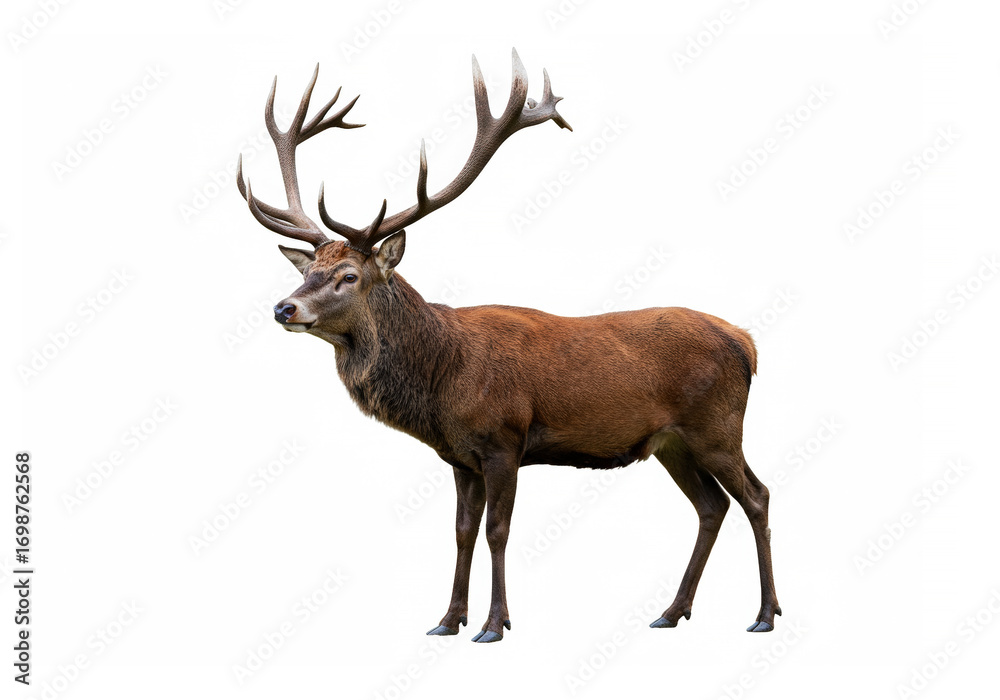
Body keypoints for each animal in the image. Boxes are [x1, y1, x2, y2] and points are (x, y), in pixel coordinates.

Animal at [236, 49, 780, 643]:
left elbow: (497, 531)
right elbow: (461, 532)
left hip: (717, 425)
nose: (284, 308)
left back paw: (764, 614)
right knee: (711, 506)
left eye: (349, 276)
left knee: (756, 496)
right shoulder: (459, 456)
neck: (442, 381)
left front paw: (495, 624)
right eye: (308, 270)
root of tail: (747, 343)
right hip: (671, 442)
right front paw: (447, 620)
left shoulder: (505, 440)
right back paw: (672, 610)